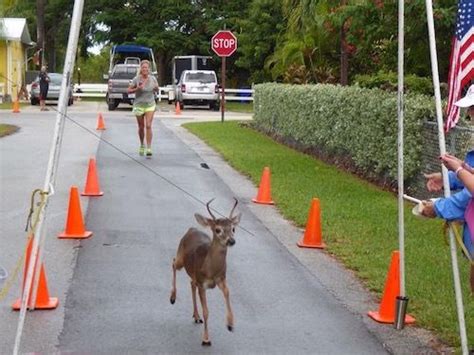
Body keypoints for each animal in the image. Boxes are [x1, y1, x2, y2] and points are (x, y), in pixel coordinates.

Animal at [169, 199, 241, 346]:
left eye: (233, 228)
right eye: (218, 229)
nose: (231, 241)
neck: (210, 269)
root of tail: (192, 229)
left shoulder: (221, 278)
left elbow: (227, 292)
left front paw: (230, 324)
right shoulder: (203, 283)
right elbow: (206, 311)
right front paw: (206, 339)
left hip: (193, 274)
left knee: (191, 283)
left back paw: (196, 316)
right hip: (181, 258)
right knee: (173, 262)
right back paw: (173, 297)